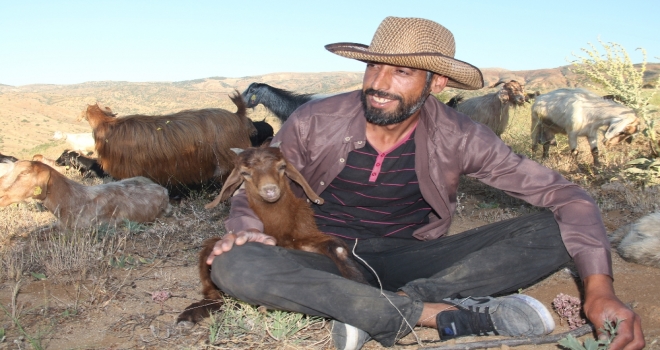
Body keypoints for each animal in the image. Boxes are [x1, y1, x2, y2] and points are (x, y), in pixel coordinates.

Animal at [178, 144, 368, 324]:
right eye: (245, 173)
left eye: (282, 166)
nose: (270, 190)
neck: (281, 229)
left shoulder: (305, 238)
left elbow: (336, 246)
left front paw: (357, 280)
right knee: (213, 293)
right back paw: (190, 315)